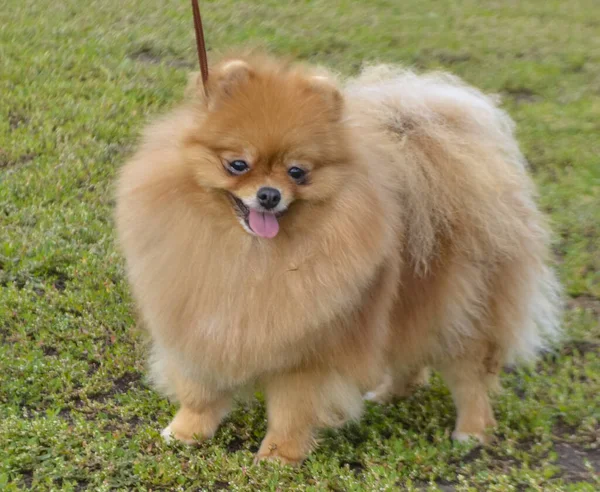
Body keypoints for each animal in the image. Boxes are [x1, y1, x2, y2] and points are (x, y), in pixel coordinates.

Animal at [116, 53, 564, 466]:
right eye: (237, 164)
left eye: (297, 172)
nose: (268, 195)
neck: (250, 257)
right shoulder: (199, 324)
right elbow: (201, 392)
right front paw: (185, 432)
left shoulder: (310, 354)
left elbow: (292, 410)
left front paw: (278, 456)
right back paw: (389, 394)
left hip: (460, 316)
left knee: (471, 377)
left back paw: (471, 431)